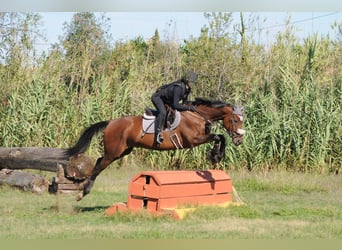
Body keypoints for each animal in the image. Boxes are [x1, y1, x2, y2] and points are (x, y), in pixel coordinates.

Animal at [65, 96, 246, 200]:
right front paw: (216, 155)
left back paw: (84, 188)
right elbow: (218, 136)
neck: (196, 115)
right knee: (99, 165)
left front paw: (216, 155)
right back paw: (83, 192)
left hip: (122, 151)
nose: (239, 140)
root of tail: (110, 122)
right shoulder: (193, 140)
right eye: (235, 120)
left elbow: (220, 137)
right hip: (114, 152)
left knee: (99, 161)